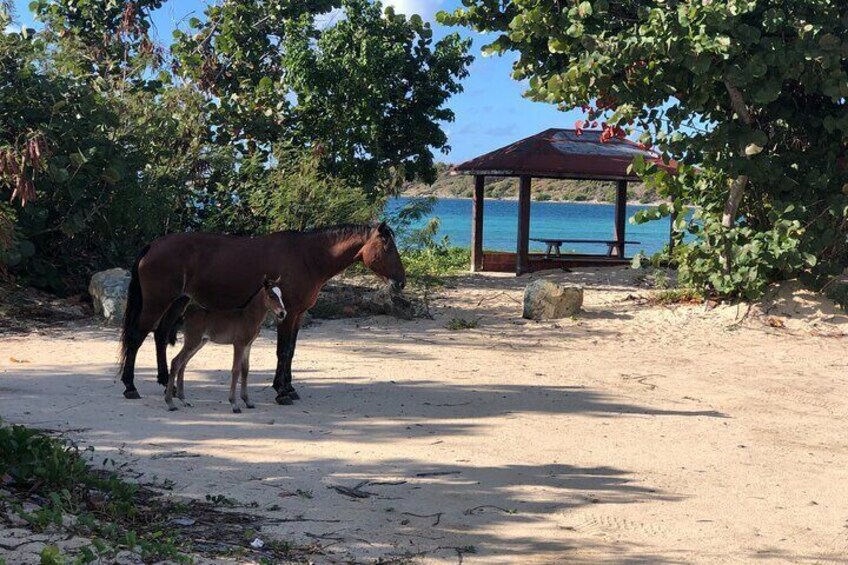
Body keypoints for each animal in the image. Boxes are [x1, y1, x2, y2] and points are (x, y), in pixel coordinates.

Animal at [166, 280, 288, 412]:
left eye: (281, 295)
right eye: (271, 295)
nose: (282, 313)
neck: (248, 317)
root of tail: (187, 313)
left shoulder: (248, 345)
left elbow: (245, 369)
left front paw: (247, 401)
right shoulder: (239, 344)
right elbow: (236, 369)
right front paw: (234, 404)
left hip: (199, 343)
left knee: (183, 364)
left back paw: (184, 400)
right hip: (192, 341)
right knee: (176, 362)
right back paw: (170, 403)